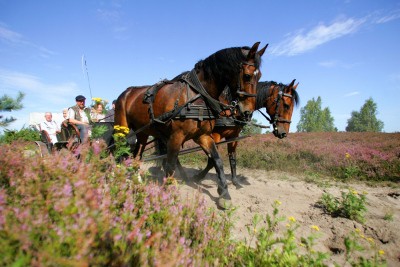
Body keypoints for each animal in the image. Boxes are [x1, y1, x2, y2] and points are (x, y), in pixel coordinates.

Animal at [114, 42, 268, 209]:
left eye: (259, 76)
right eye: (247, 76)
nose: (247, 112)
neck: (197, 95)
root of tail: (127, 92)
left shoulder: (203, 136)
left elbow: (217, 160)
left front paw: (224, 193)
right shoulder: (176, 136)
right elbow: (170, 165)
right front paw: (168, 191)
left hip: (143, 132)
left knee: (137, 155)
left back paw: (137, 180)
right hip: (122, 129)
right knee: (117, 150)